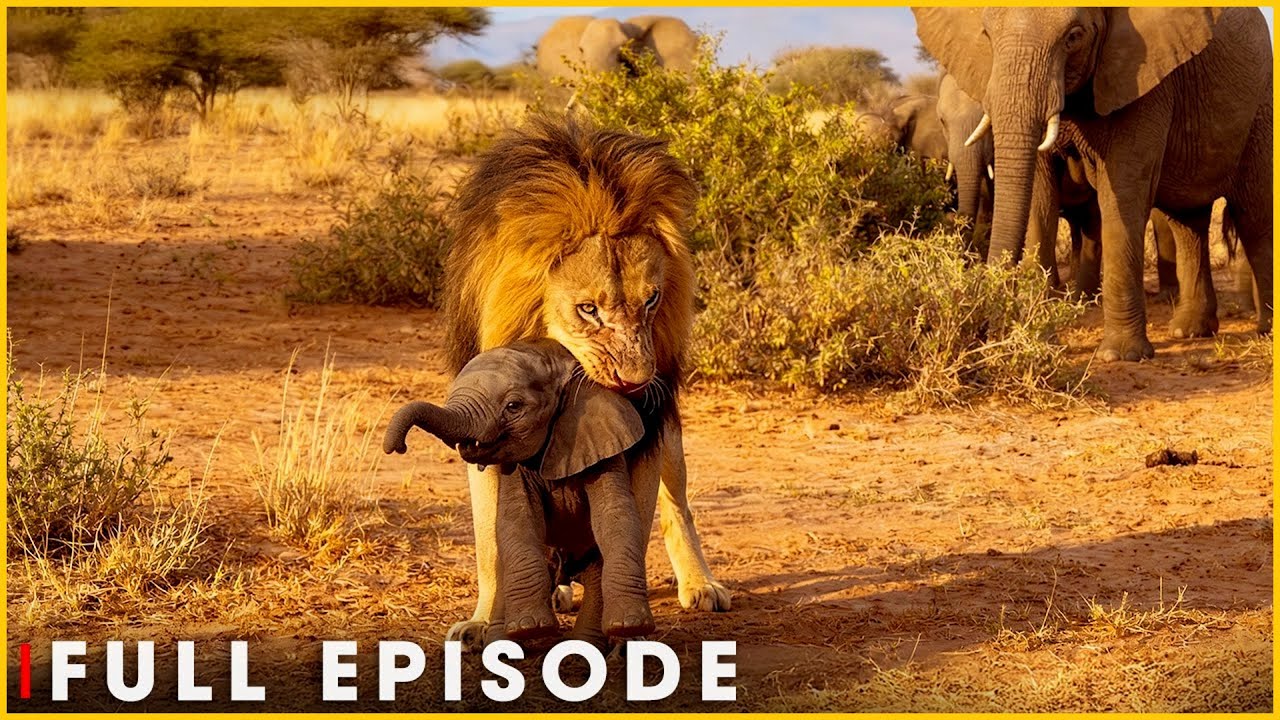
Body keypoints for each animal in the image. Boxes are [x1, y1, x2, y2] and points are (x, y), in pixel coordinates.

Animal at [440, 114, 730, 648]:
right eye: (588, 309)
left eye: (652, 299)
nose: (637, 383)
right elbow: (491, 539)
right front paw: (486, 622)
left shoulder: (647, 433)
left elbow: (632, 523)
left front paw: (622, 628)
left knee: (678, 505)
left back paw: (701, 584)